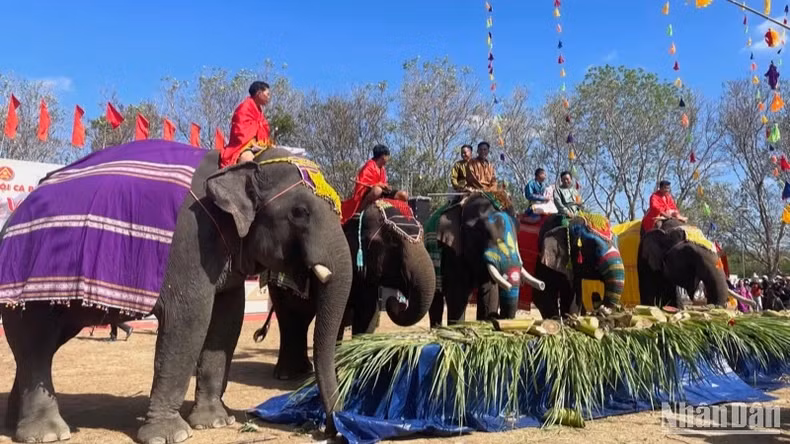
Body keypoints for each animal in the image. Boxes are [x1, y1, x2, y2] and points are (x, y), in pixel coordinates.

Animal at [0, 140, 352, 443]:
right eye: (300, 213)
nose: (328, 429)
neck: (237, 164)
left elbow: (227, 322)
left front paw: (215, 422)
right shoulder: (190, 240)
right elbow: (189, 318)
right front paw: (171, 436)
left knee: (44, 344)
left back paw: (13, 422)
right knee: (36, 341)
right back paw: (47, 433)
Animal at [255, 198, 435, 380]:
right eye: (392, 240)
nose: (395, 302)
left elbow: (368, 316)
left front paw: (361, 375)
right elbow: (339, 319)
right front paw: (340, 378)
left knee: (302, 315)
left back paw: (304, 370)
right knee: (288, 315)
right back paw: (285, 375)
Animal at [427, 192, 544, 327]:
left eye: (518, 228)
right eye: (480, 231)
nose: (543, 285)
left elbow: (490, 291)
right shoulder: (452, 249)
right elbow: (457, 293)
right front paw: (457, 327)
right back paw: (436, 328)